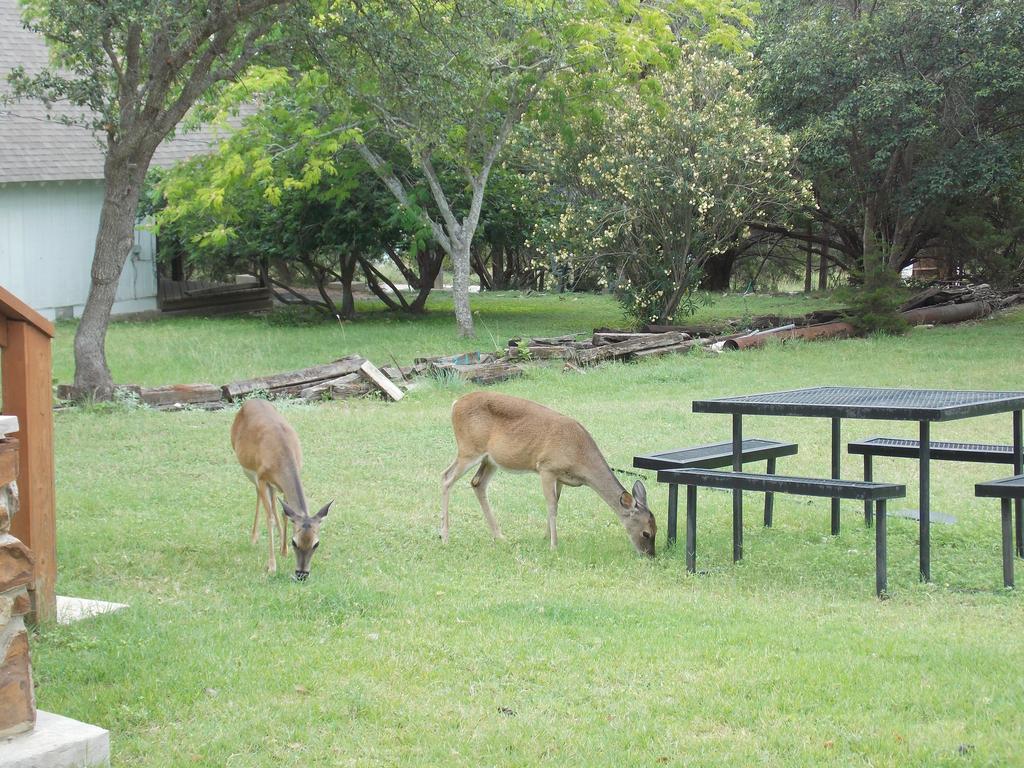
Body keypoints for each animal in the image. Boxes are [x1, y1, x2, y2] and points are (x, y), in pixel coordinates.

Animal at [230, 399, 329, 581]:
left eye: (316, 543)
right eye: (294, 542)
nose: (301, 574)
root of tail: (251, 401)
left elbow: (285, 513)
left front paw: (283, 550)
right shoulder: (262, 477)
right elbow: (269, 517)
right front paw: (271, 566)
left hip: (273, 485)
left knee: (276, 505)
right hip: (248, 469)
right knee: (259, 495)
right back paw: (253, 537)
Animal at [440, 393, 655, 557]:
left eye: (657, 529)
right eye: (646, 533)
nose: (650, 555)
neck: (579, 456)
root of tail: (455, 404)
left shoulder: (560, 477)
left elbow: (556, 502)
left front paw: (545, 537)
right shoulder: (546, 467)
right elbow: (552, 505)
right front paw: (553, 545)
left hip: (491, 459)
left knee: (477, 483)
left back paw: (499, 536)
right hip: (469, 448)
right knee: (446, 477)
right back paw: (444, 536)